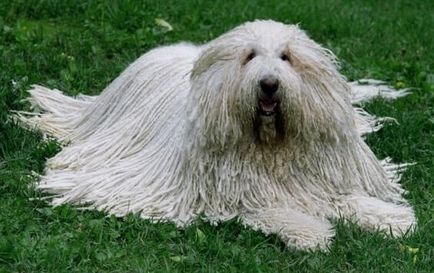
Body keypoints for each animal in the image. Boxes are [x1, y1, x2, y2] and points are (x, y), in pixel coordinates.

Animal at [17, 19, 418, 249]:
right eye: (250, 56)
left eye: (286, 57)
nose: (269, 84)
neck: (271, 146)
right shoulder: (240, 197)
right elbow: (278, 212)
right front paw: (311, 234)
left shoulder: (318, 181)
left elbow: (349, 198)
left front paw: (392, 218)